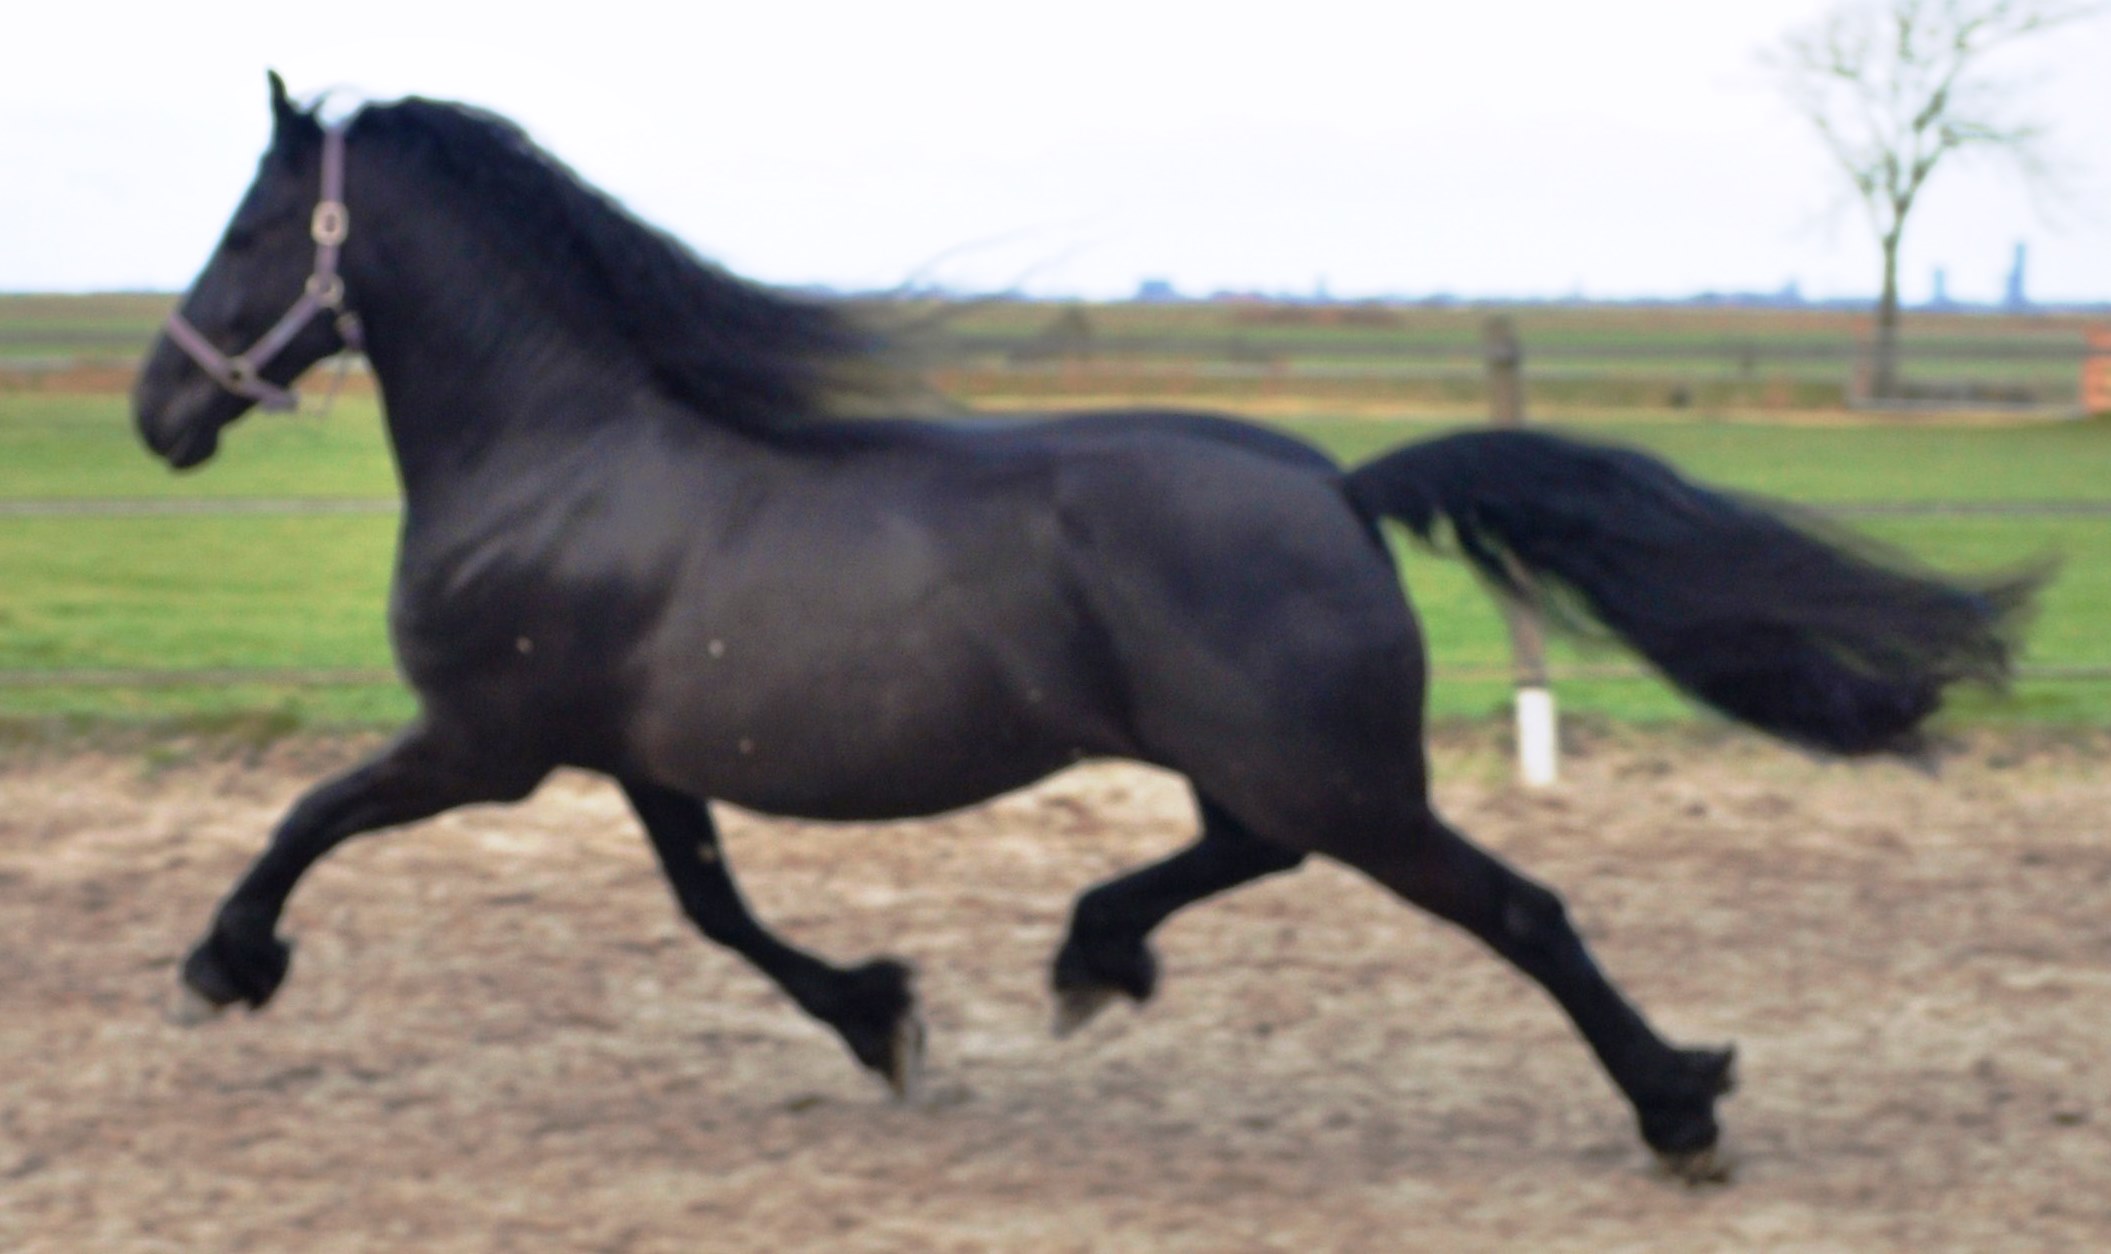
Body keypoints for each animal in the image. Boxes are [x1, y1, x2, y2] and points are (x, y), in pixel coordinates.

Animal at [133, 74, 2037, 1182]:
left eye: (246, 225)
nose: (161, 407)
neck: (556, 454)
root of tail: (1338, 484)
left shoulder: (487, 742)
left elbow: (307, 817)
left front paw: (223, 964)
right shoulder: (629, 755)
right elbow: (716, 905)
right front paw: (882, 1016)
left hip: (1341, 779)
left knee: (1516, 906)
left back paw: (1679, 1105)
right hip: (1265, 764)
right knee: (1240, 855)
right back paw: (1090, 952)